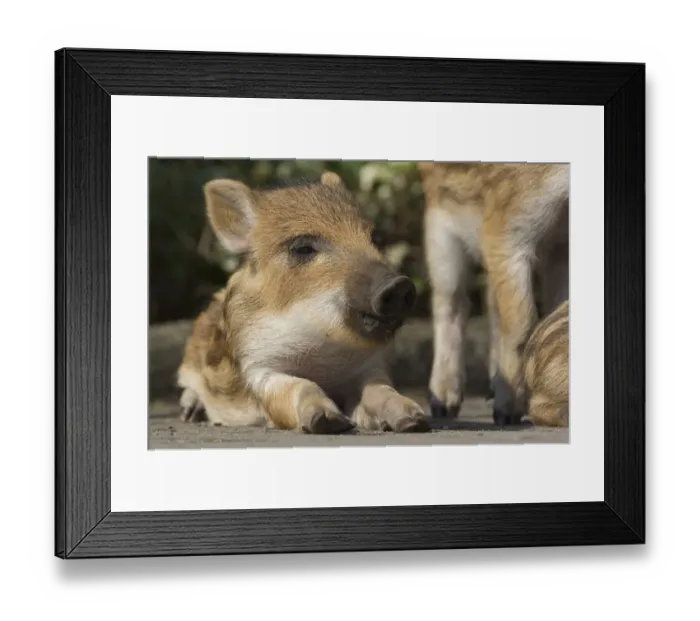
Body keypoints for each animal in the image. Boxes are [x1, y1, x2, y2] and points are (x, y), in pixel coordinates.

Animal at [176, 172, 431, 435]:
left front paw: (415, 419)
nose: (399, 285)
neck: (325, 346)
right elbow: (300, 387)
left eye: (373, 238)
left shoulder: (371, 367)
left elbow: (381, 389)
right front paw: (327, 421)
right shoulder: (260, 369)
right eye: (303, 248)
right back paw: (190, 413)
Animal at [419, 162, 569, 426]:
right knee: (451, 302)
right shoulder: (510, 218)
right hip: (440, 219)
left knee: (492, 304)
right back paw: (444, 406)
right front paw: (507, 414)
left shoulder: (562, 245)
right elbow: (522, 323)